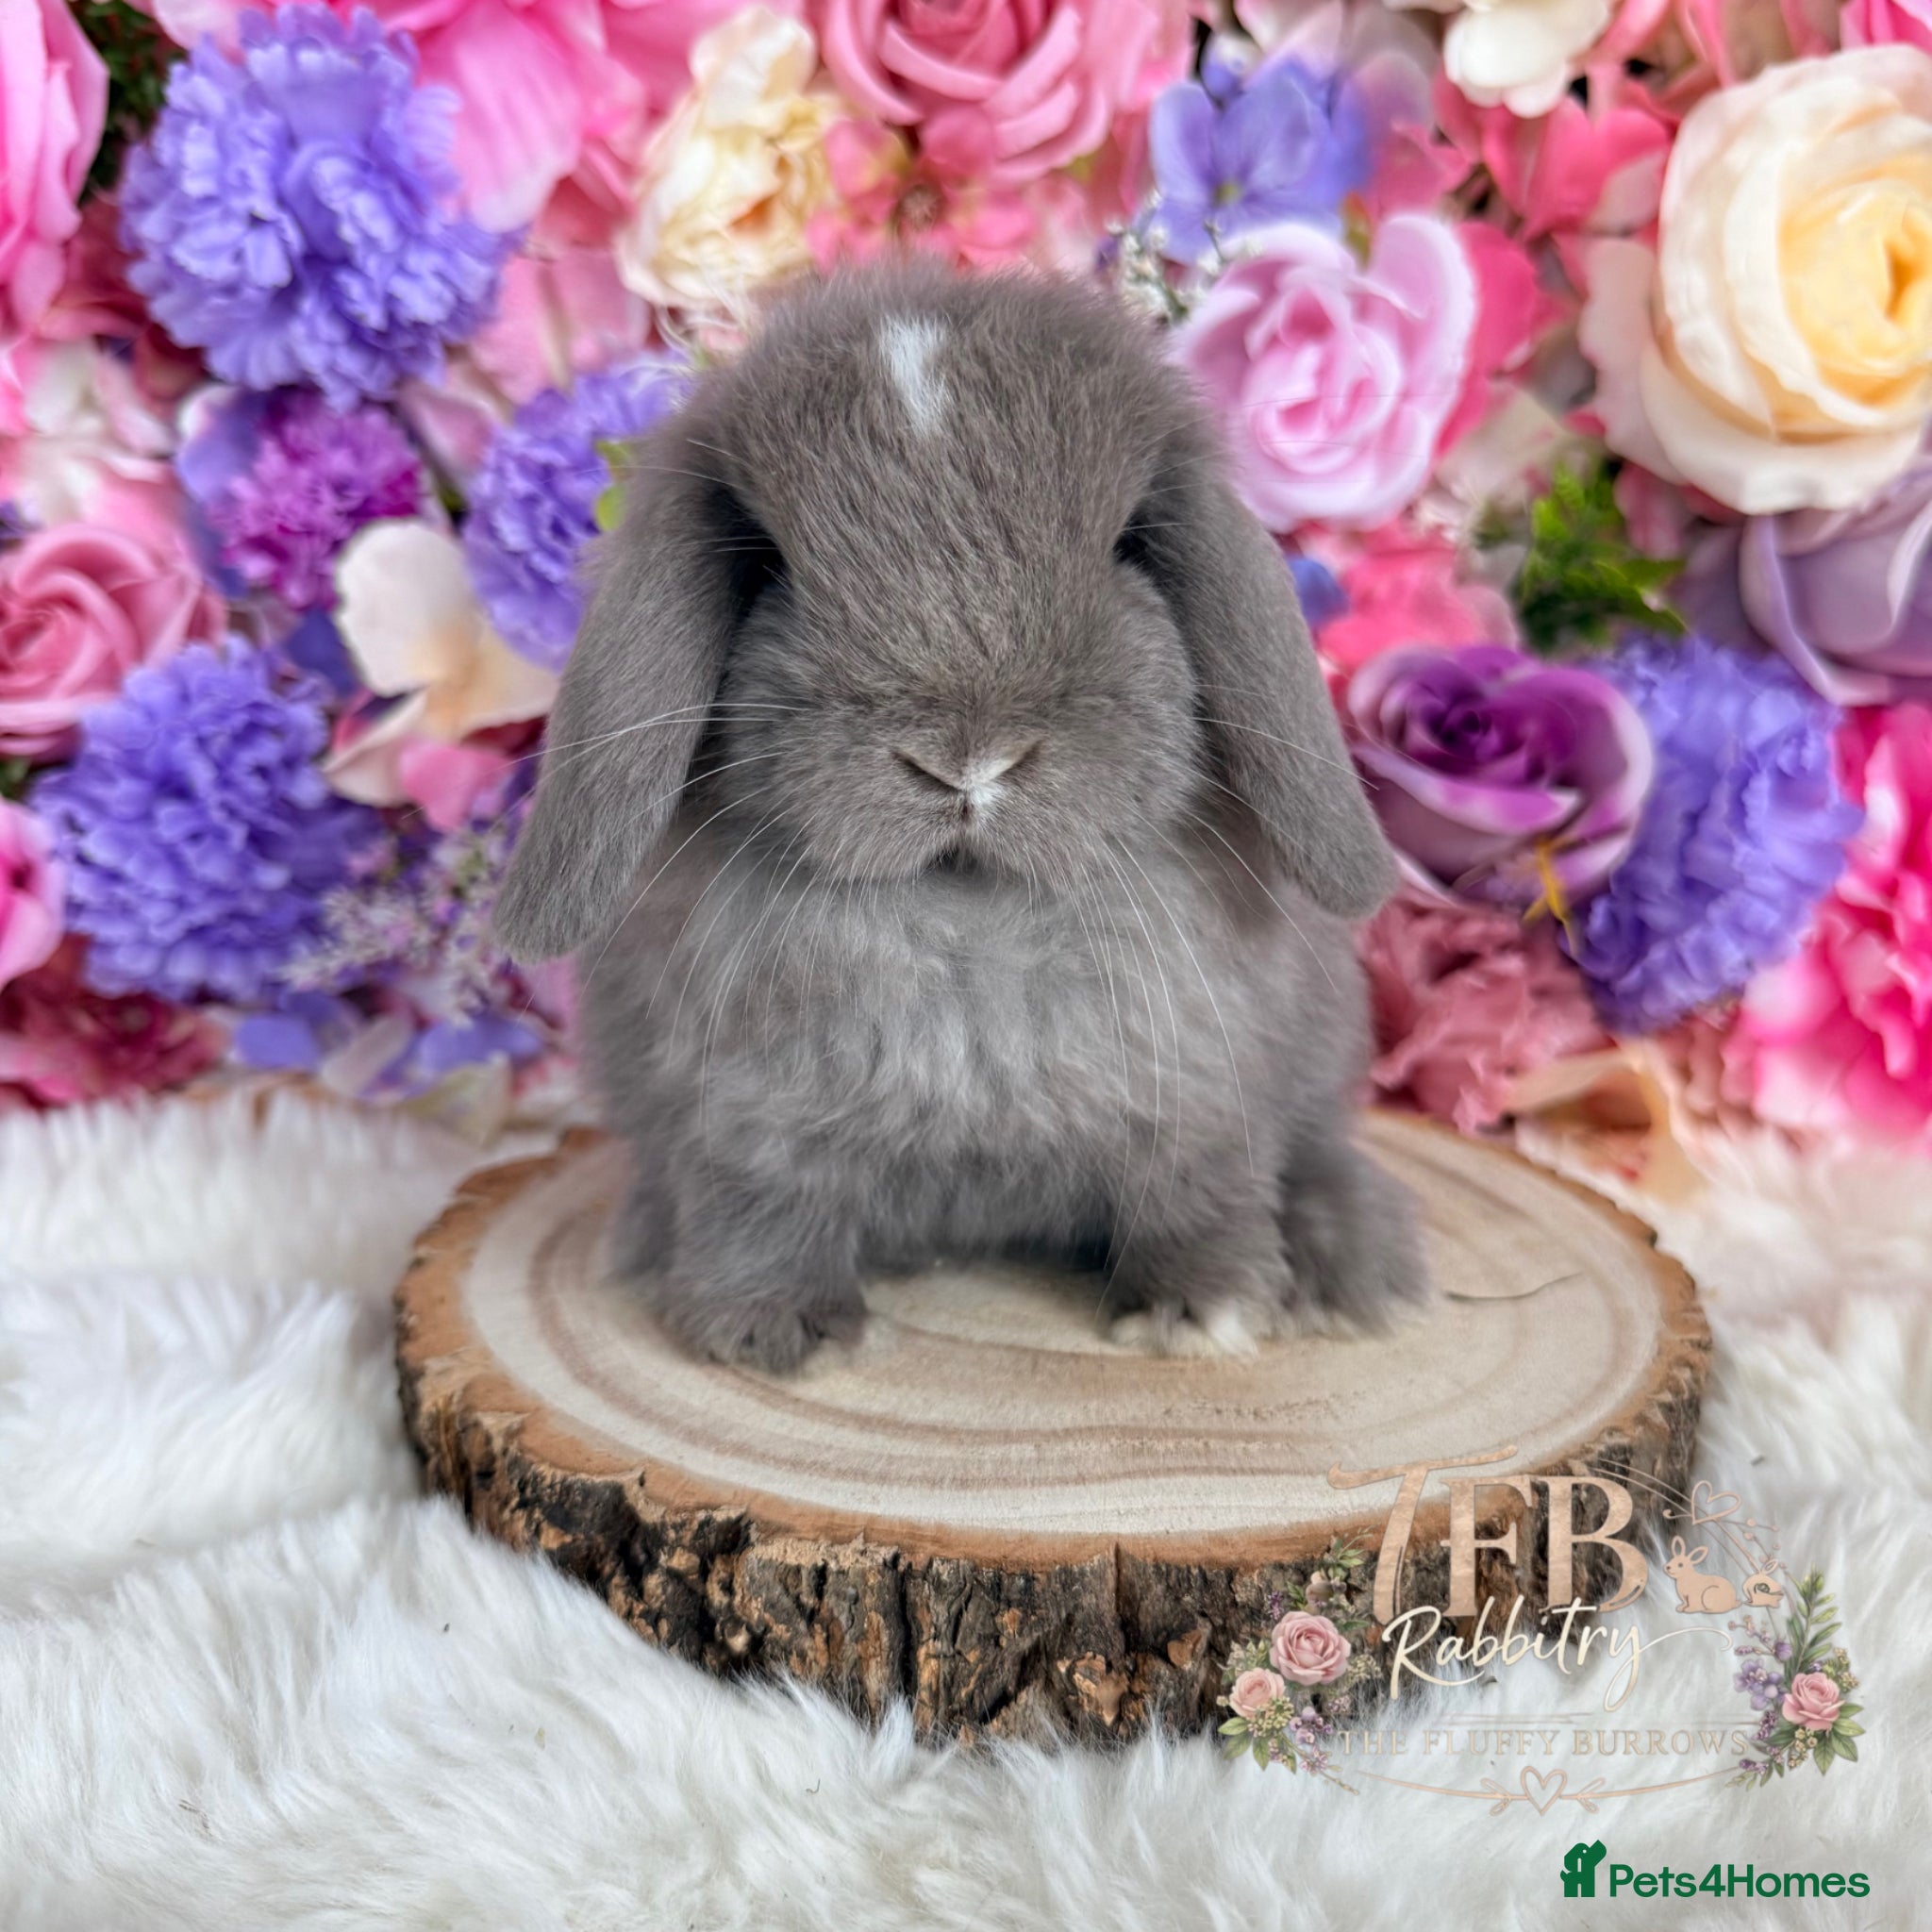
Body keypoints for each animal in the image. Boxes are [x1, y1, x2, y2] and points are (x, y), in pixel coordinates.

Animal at [494, 260, 1429, 1372]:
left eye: (1129, 545)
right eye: (766, 563)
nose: (966, 761)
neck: (969, 914)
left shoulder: (1203, 1098)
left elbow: (1194, 1197)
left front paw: (1203, 1313)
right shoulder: (746, 1129)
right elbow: (759, 1217)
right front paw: (773, 1333)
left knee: (1318, 1152)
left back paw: (1339, 1272)